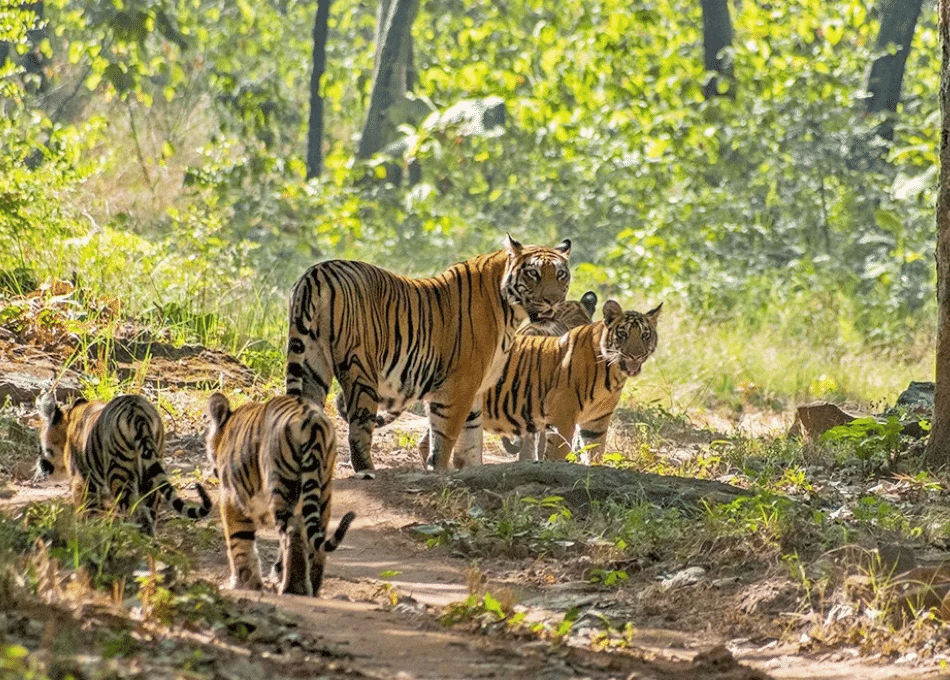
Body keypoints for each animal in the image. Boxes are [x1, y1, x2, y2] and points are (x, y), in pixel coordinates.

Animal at [36, 394, 212, 532]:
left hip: (119, 473)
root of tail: (138, 414)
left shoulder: (83, 482)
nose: (41, 466)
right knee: (149, 512)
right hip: (150, 473)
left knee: (134, 512)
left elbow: (87, 510)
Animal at [205, 394, 356, 596]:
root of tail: (311, 420)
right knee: (315, 538)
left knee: (292, 533)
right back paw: (312, 588)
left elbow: (239, 542)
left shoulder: (232, 498)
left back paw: (293, 588)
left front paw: (244, 584)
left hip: (281, 486)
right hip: (323, 489)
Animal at [284, 236, 572, 470]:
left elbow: (471, 439)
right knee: (359, 427)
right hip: (360, 369)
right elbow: (445, 437)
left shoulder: (476, 388)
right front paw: (440, 471)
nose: (553, 300)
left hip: (312, 363)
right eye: (533, 273)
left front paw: (471, 471)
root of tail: (318, 271)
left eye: (561, 275)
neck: (512, 313)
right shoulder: (458, 386)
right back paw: (366, 471)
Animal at [424, 300, 660, 464]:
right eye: (622, 334)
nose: (635, 355)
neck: (613, 373)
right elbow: (557, 454)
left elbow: (594, 455)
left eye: (645, 335)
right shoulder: (563, 417)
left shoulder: (596, 422)